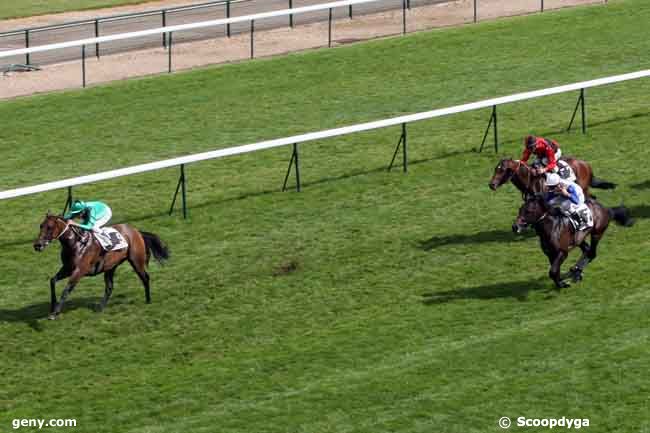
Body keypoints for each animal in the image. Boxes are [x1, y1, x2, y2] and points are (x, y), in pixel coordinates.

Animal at [33, 213, 168, 318]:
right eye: (41, 226)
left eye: (49, 227)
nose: (37, 245)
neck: (75, 243)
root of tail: (136, 231)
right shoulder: (67, 268)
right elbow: (52, 281)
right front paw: (52, 306)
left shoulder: (79, 271)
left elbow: (66, 289)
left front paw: (55, 313)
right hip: (110, 267)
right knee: (109, 287)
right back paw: (100, 307)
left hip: (136, 261)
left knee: (145, 278)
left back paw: (148, 300)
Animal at [488, 158, 616, 198]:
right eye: (495, 169)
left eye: (502, 170)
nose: (491, 185)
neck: (531, 180)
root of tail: (585, 164)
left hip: (583, 188)